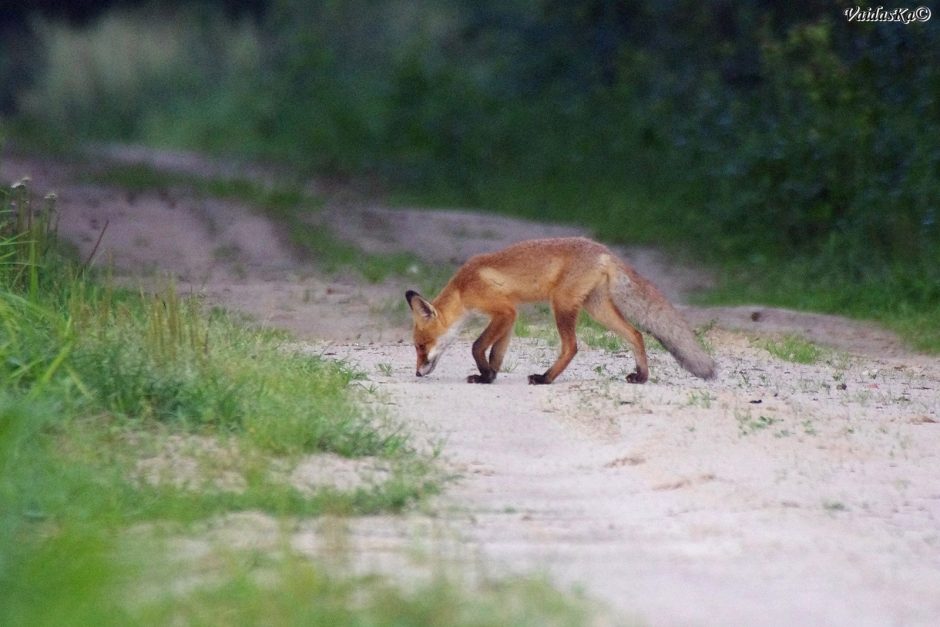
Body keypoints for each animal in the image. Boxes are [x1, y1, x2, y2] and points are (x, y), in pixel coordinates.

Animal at [400, 238, 716, 386]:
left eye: (420, 346)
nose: (416, 373)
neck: (463, 288)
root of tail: (603, 250)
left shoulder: (503, 311)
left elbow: (477, 346)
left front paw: (485, 373)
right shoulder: (511, 316)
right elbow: (497, 353)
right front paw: (488, 377)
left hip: (561, 305)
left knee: (571, 346)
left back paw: (545, 378)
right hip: (597, 308)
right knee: (636, 334)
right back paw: (641, 376)